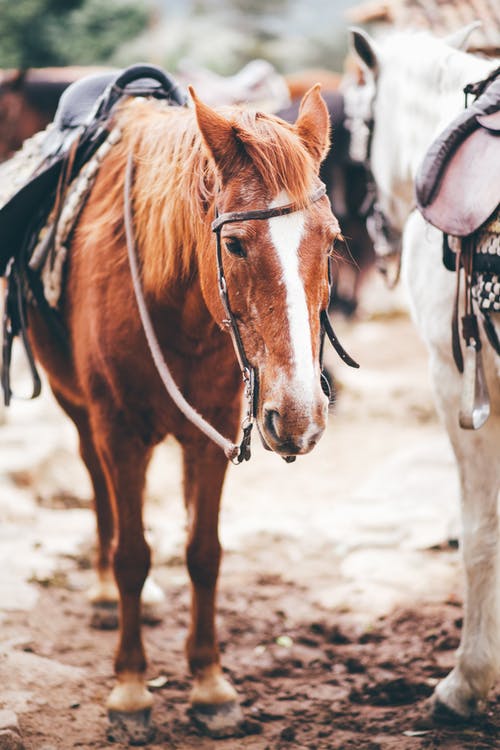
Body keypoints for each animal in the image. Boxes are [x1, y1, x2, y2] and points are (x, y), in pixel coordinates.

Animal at [26, 85, 340, 744]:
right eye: (235, 244)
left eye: (331, 241)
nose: (300, 415)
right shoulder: (119, 433)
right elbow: (133, 555)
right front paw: (130, 691)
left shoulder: (212, 436)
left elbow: (204, 554)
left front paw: (210, 684)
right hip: (80, 410)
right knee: (97, 486)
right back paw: (103, 594)